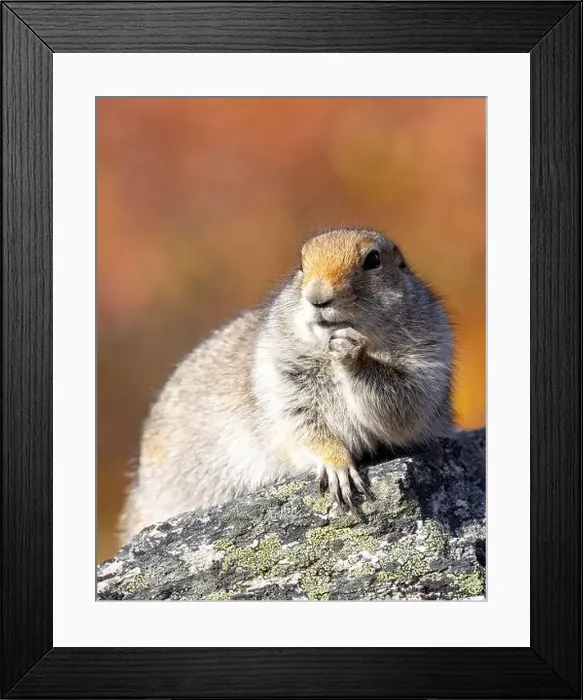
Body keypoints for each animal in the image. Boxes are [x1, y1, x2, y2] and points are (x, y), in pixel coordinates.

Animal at [120, 228, 455, 542]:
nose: (317, 297)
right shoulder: (283, 379)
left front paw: (352, 351)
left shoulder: (427, 362)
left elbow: (402, 406)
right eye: (301, 264)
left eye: (373, 260)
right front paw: (338, 469)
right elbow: (304, 425)